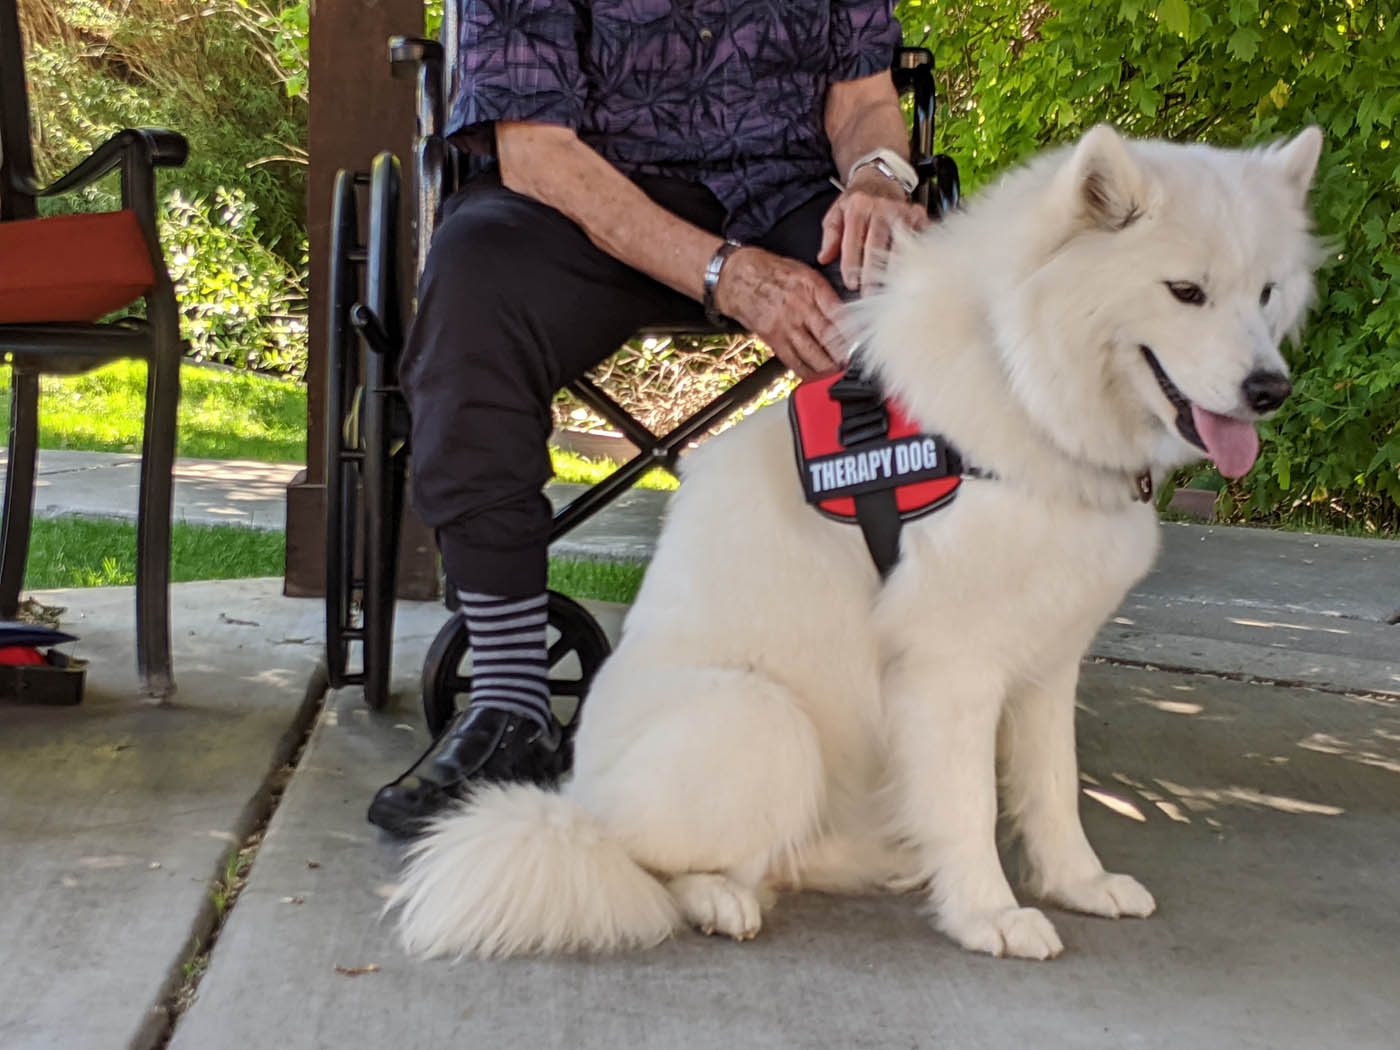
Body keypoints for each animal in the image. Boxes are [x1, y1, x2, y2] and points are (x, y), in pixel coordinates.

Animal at [392, 123, 1321, 963]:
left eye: (1266, 293)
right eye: (1185, 291)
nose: (1270, 391)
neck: (1022, 390)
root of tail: (578, 803)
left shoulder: (1048, 663)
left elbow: (1052, 792)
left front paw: (1078, 886)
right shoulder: (951, 669)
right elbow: (971, 804)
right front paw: (990, 915)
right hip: (762, 718)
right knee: (641, 859)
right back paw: (719, 899)